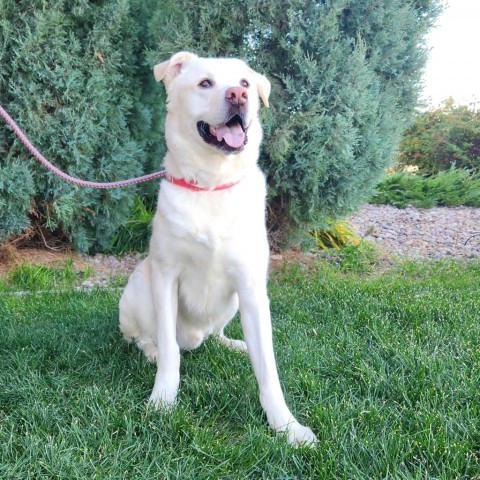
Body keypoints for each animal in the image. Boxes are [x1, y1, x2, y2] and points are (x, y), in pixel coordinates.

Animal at [118, 51, 316, 446]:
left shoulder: (252, 289)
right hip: (139, 289)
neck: (212, 183)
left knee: (215, 335)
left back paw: (234, 344)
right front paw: (162, 401)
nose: (238, 97)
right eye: (205, 83)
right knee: (146, 337)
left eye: (244, 83)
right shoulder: (165, 276)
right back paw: (150, 350)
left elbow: (268, 370)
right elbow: (170, 354)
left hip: (234, 304)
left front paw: (285, 425)